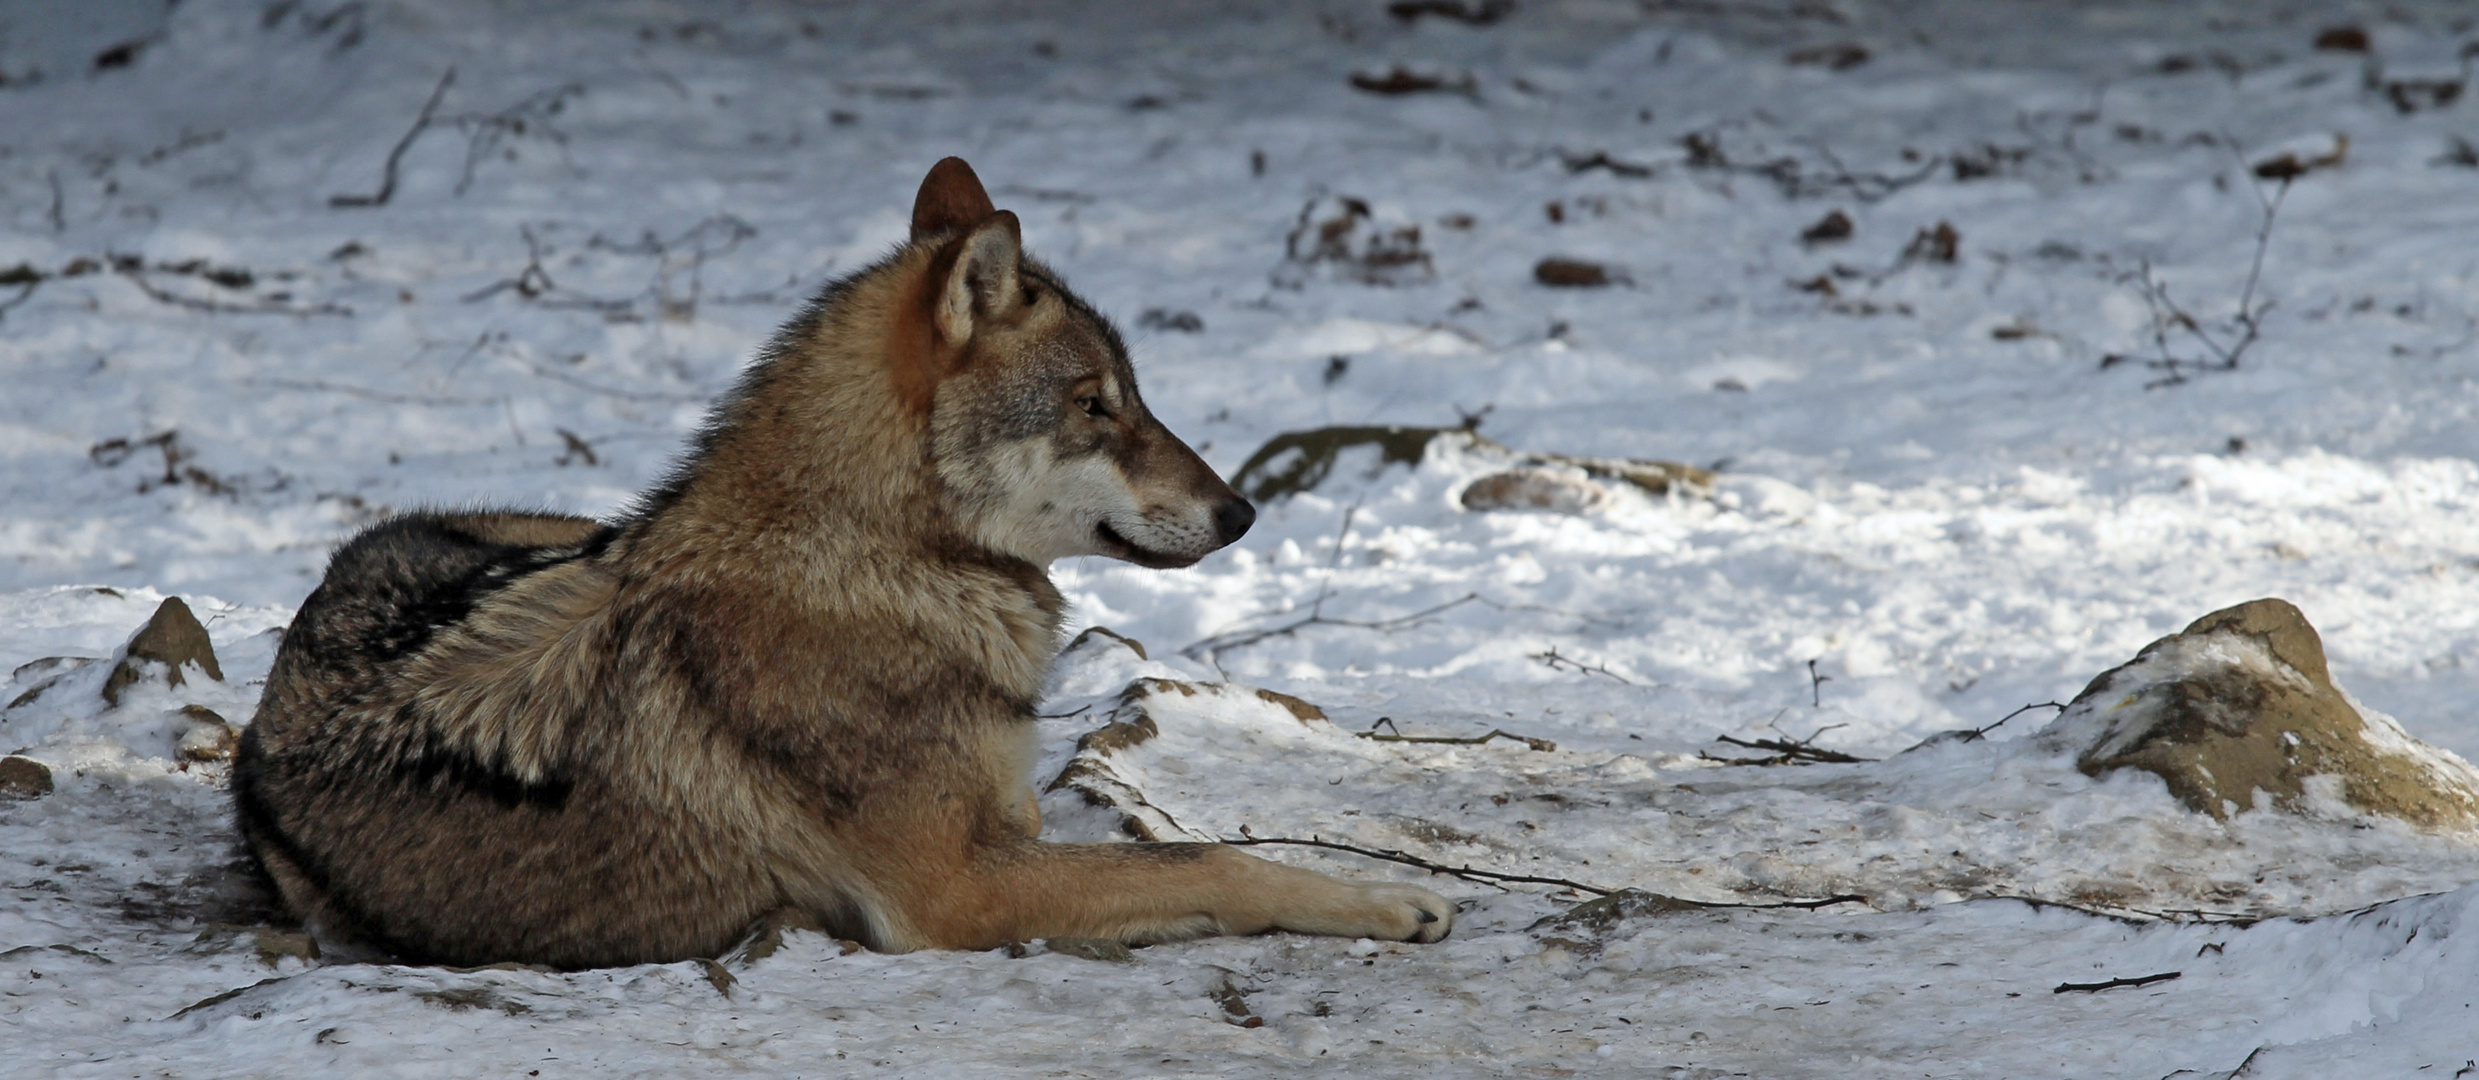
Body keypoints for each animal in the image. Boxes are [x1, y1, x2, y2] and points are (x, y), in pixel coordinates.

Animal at [233, 156, 1447, 966]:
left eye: (1132, 397)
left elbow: (1131, 838)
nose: (1242, 512)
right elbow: (1207, 861)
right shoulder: (952, 892)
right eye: (1096, 406)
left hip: (556, 528)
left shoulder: (1001, 827)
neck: (884, 569)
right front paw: (1386, 903)